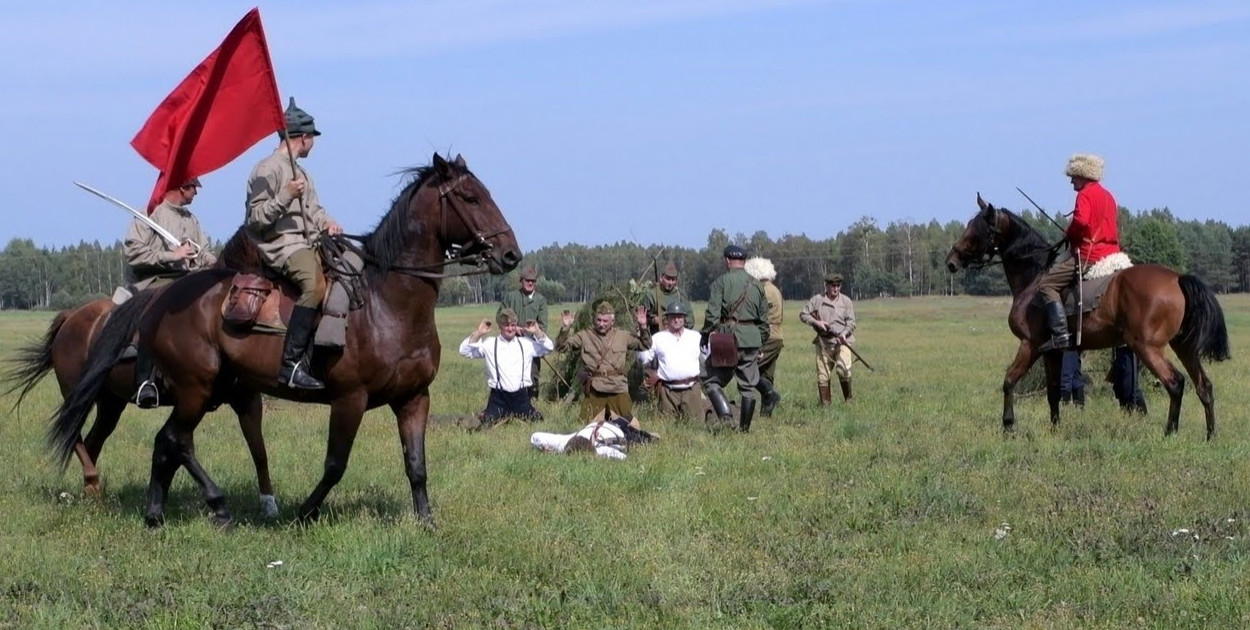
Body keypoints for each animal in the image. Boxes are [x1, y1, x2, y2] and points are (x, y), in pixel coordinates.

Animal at [4, 295, 273, 512]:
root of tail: (71, 317)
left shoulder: (247, 402)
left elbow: (258, 451)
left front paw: (269, 504)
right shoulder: (191, 400)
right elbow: (180, 447)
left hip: (110, 404)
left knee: (91, 442)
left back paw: (90, 492)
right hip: (78, 395)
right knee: (74, 436)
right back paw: (93, 481)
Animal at [48, 153, 517, 527]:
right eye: (470, 199)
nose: (511, 254)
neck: (388, 303)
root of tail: (163, 299)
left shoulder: (414, 398)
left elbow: (416, 465)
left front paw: (426, 523)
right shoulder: (350, 399)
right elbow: (335, 465)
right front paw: (304, 512)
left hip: (187, 394)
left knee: (164, 443)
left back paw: (156, 513)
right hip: (192, 389)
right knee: (169, 440)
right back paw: (199, 507)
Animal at [945, 196, 1230, 437]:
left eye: (976, 230)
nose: (951, 261)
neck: (1034, 276)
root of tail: (1176, 278)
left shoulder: (1030, 345)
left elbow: (1009, 381)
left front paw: (1008, 426)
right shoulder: (1052, 352)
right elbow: (1053, 391)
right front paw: (1055, 429)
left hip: (1147, 347)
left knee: (1176, 383)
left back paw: (1169, 433)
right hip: (1184, 347)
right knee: (1204, 386)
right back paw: (1211, 435)